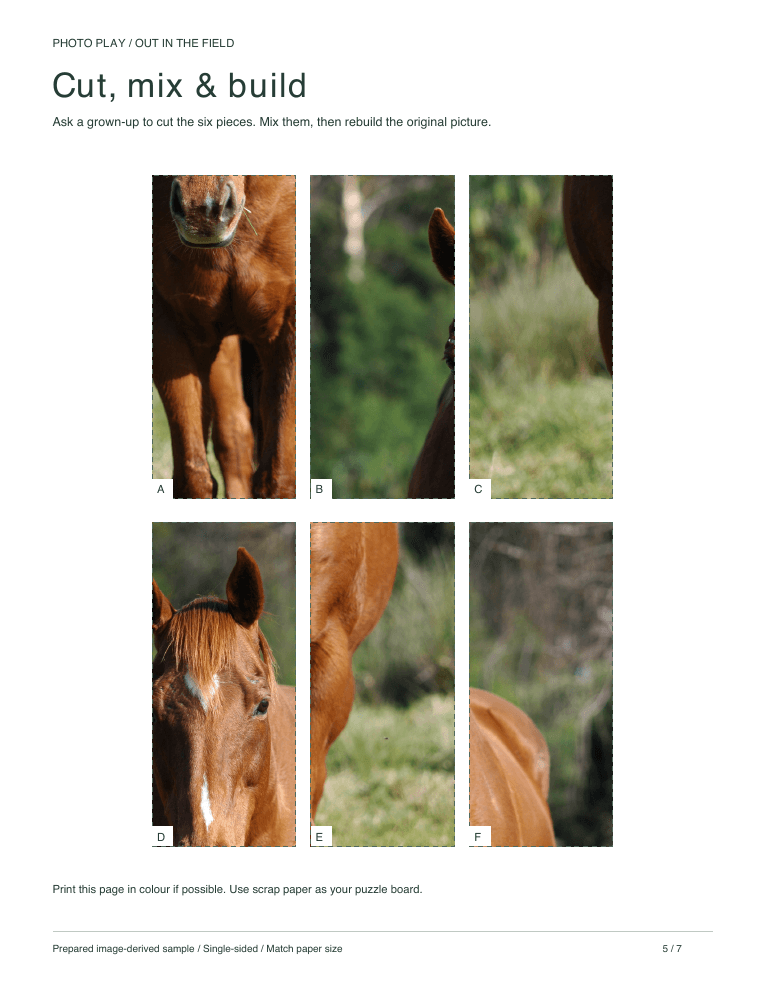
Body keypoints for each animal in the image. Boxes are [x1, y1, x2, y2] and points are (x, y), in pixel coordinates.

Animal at [153, 175, 296, 498]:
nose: (201, 210)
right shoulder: (169, 325)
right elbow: (193, 479)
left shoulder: (286, 326)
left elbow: (278, 479)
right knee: (234, 439)